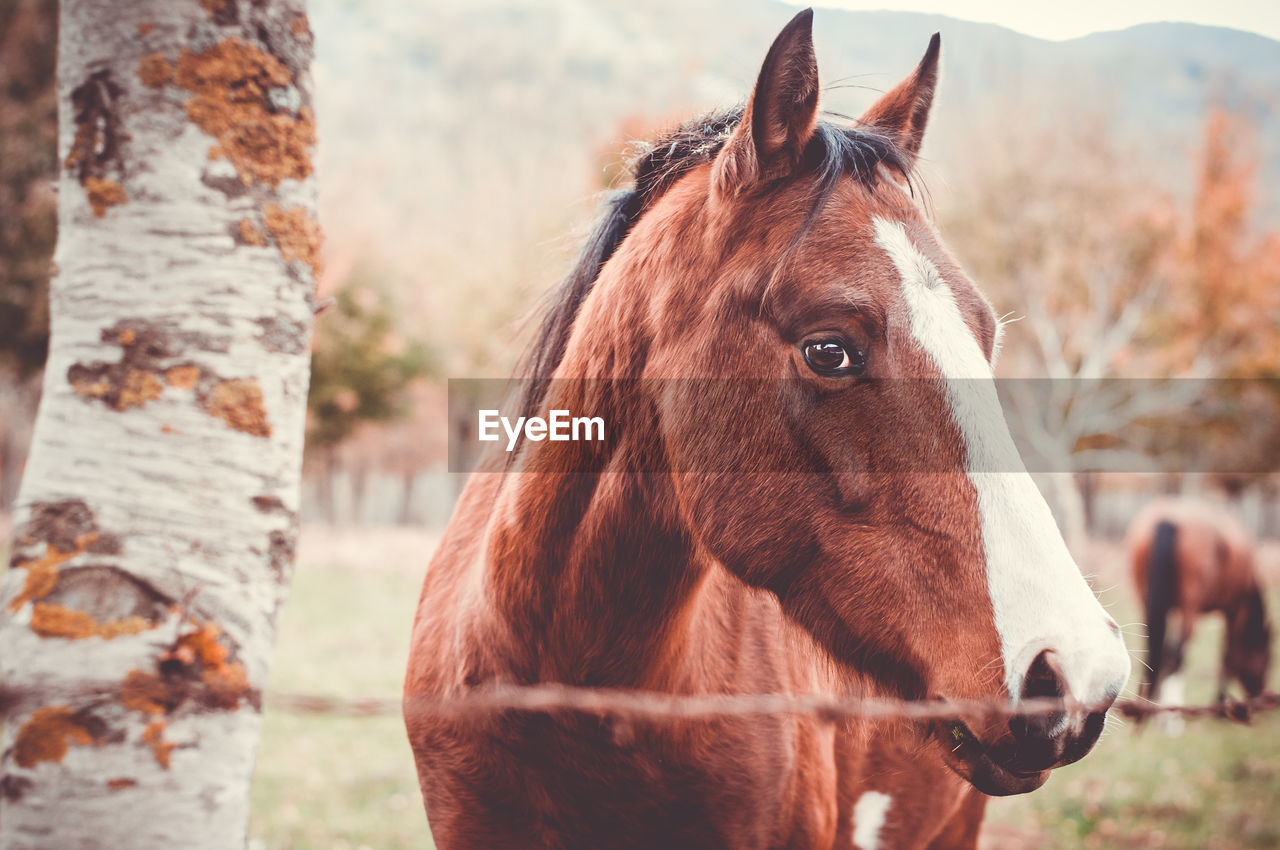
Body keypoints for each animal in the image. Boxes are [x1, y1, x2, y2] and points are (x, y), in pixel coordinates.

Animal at [1131, 499, 1269, 701]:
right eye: (1266, 660)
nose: (1260, 693)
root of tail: (1172, 518)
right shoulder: (1235, 610)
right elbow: (1228, 654)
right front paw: (1220, 701)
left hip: (1147, 604)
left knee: (1155, 649)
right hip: (1190, 610)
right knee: (1178, 654)